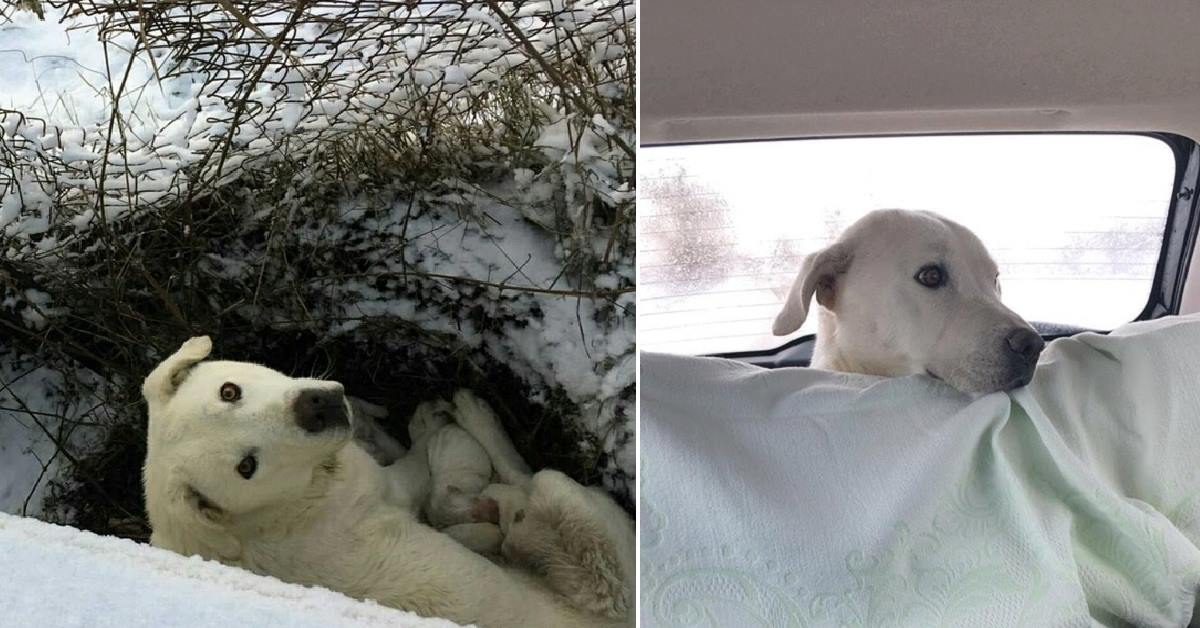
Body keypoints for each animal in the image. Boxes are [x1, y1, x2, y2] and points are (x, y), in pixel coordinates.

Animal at [141, 336, 633, 628]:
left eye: (229, 391)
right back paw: (477, 417)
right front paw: (433, 425)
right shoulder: (393, 485)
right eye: (247, 467)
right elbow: (420, 458)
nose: (316, 408)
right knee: (526, 476)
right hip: (569, 500)